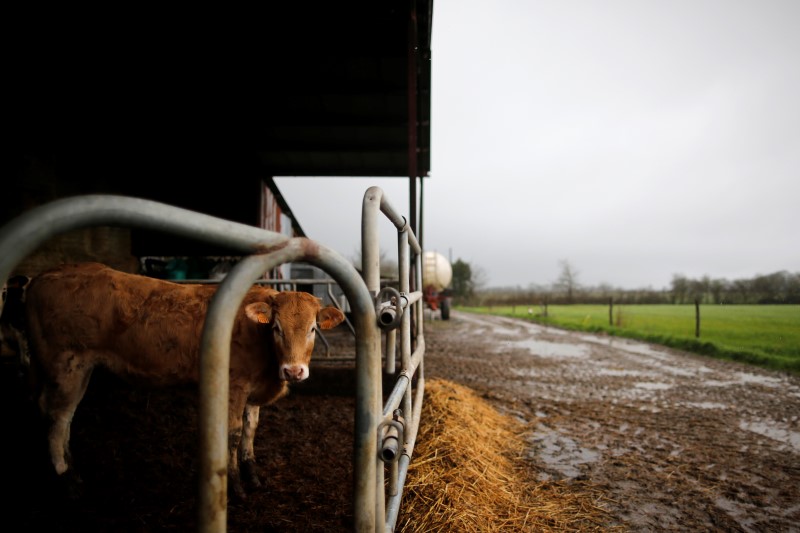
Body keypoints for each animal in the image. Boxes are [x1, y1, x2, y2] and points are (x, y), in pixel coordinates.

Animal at [24, 262, 344, 498]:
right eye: (276, 328)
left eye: (313, 328)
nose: (293, 371)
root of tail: (45, 275)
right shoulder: (234, 385)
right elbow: (233, 433)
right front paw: (235, 486)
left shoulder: (254, 390)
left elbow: (251, 429)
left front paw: (252, 474)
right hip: (68, 365)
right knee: (57, 418)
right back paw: (66, 477)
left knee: (61, 416)